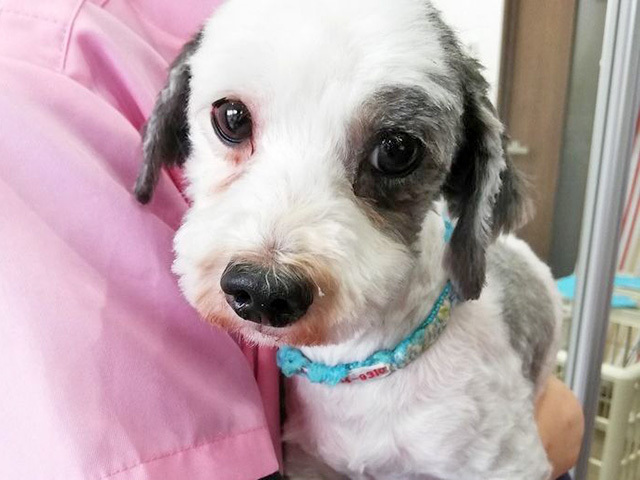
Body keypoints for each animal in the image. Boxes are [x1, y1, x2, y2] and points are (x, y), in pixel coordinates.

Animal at [135, 0, 562, 478]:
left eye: (397, 149)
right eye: (231, 116)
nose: (263, 291)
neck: (362, 370)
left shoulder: (503, 462)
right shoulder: (310, 462)